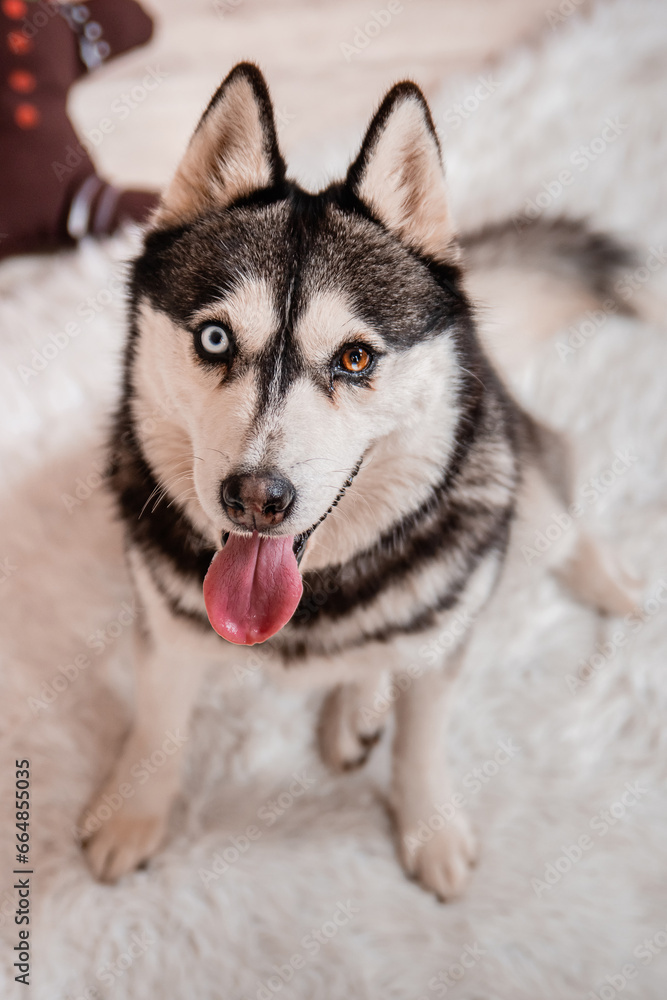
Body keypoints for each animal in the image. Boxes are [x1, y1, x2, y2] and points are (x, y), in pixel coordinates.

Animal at [81, 62, 640, 900]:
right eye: (213, 339)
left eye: (353, 358)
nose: (255, 497)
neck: (314, 605)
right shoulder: (166, 631)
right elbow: (157, 725)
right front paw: (132, 813)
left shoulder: (440, 652)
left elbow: (421, 741)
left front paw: (429, 828)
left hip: (516, 494)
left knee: (555, 503)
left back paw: (608, 585)